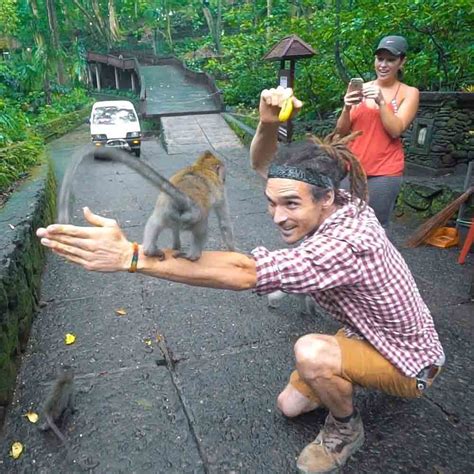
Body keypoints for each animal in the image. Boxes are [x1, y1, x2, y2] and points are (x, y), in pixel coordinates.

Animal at [57, 146, 235, 262]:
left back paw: (151, 251)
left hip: (166, 213)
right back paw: (193, 256)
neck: (202, 167)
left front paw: (176, 245)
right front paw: (233, 251)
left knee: (154, 223)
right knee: (202, 228)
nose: (225, 177)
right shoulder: (221, 192)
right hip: (197, 216)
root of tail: (184, 198)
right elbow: (225, 224)